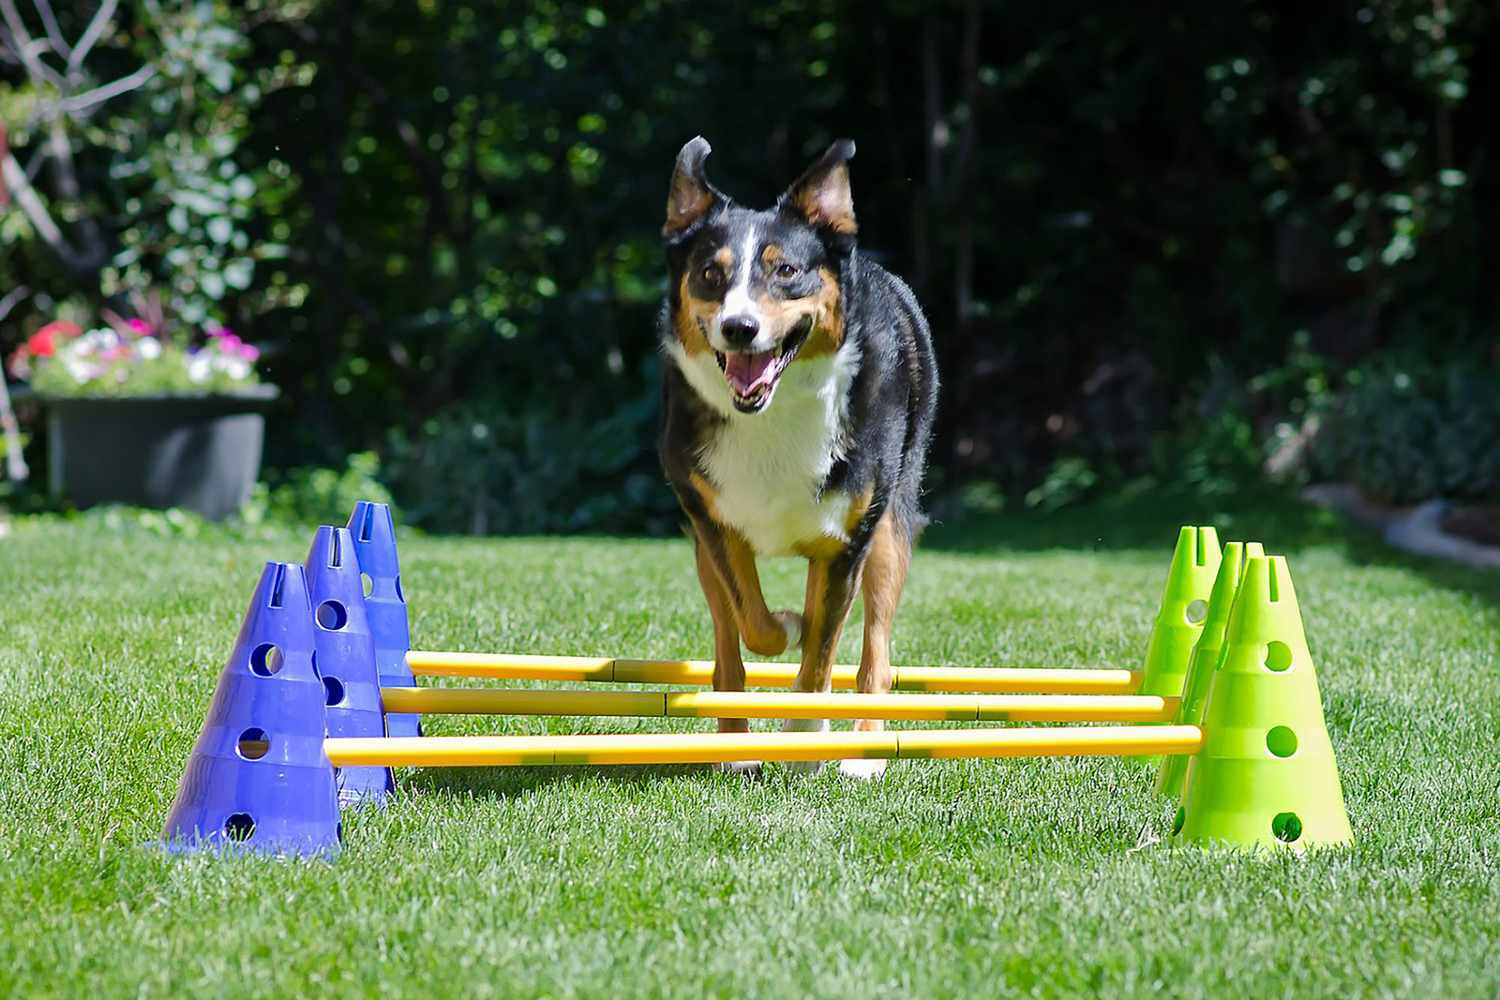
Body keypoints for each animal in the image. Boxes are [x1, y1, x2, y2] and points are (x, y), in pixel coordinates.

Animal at [657, 132, 936, 779]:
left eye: (785, 270)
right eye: (710, 273)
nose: (739, 327)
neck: (772, 413)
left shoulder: (846, 541)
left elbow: (822, 653)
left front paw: (807, 736)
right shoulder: (712, 520)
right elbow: (756, 624)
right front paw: (784, 626)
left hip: (890, 530)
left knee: (875, 656)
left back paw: (863, 750)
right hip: (702, 548)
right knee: (728, 648)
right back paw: (733, 745)